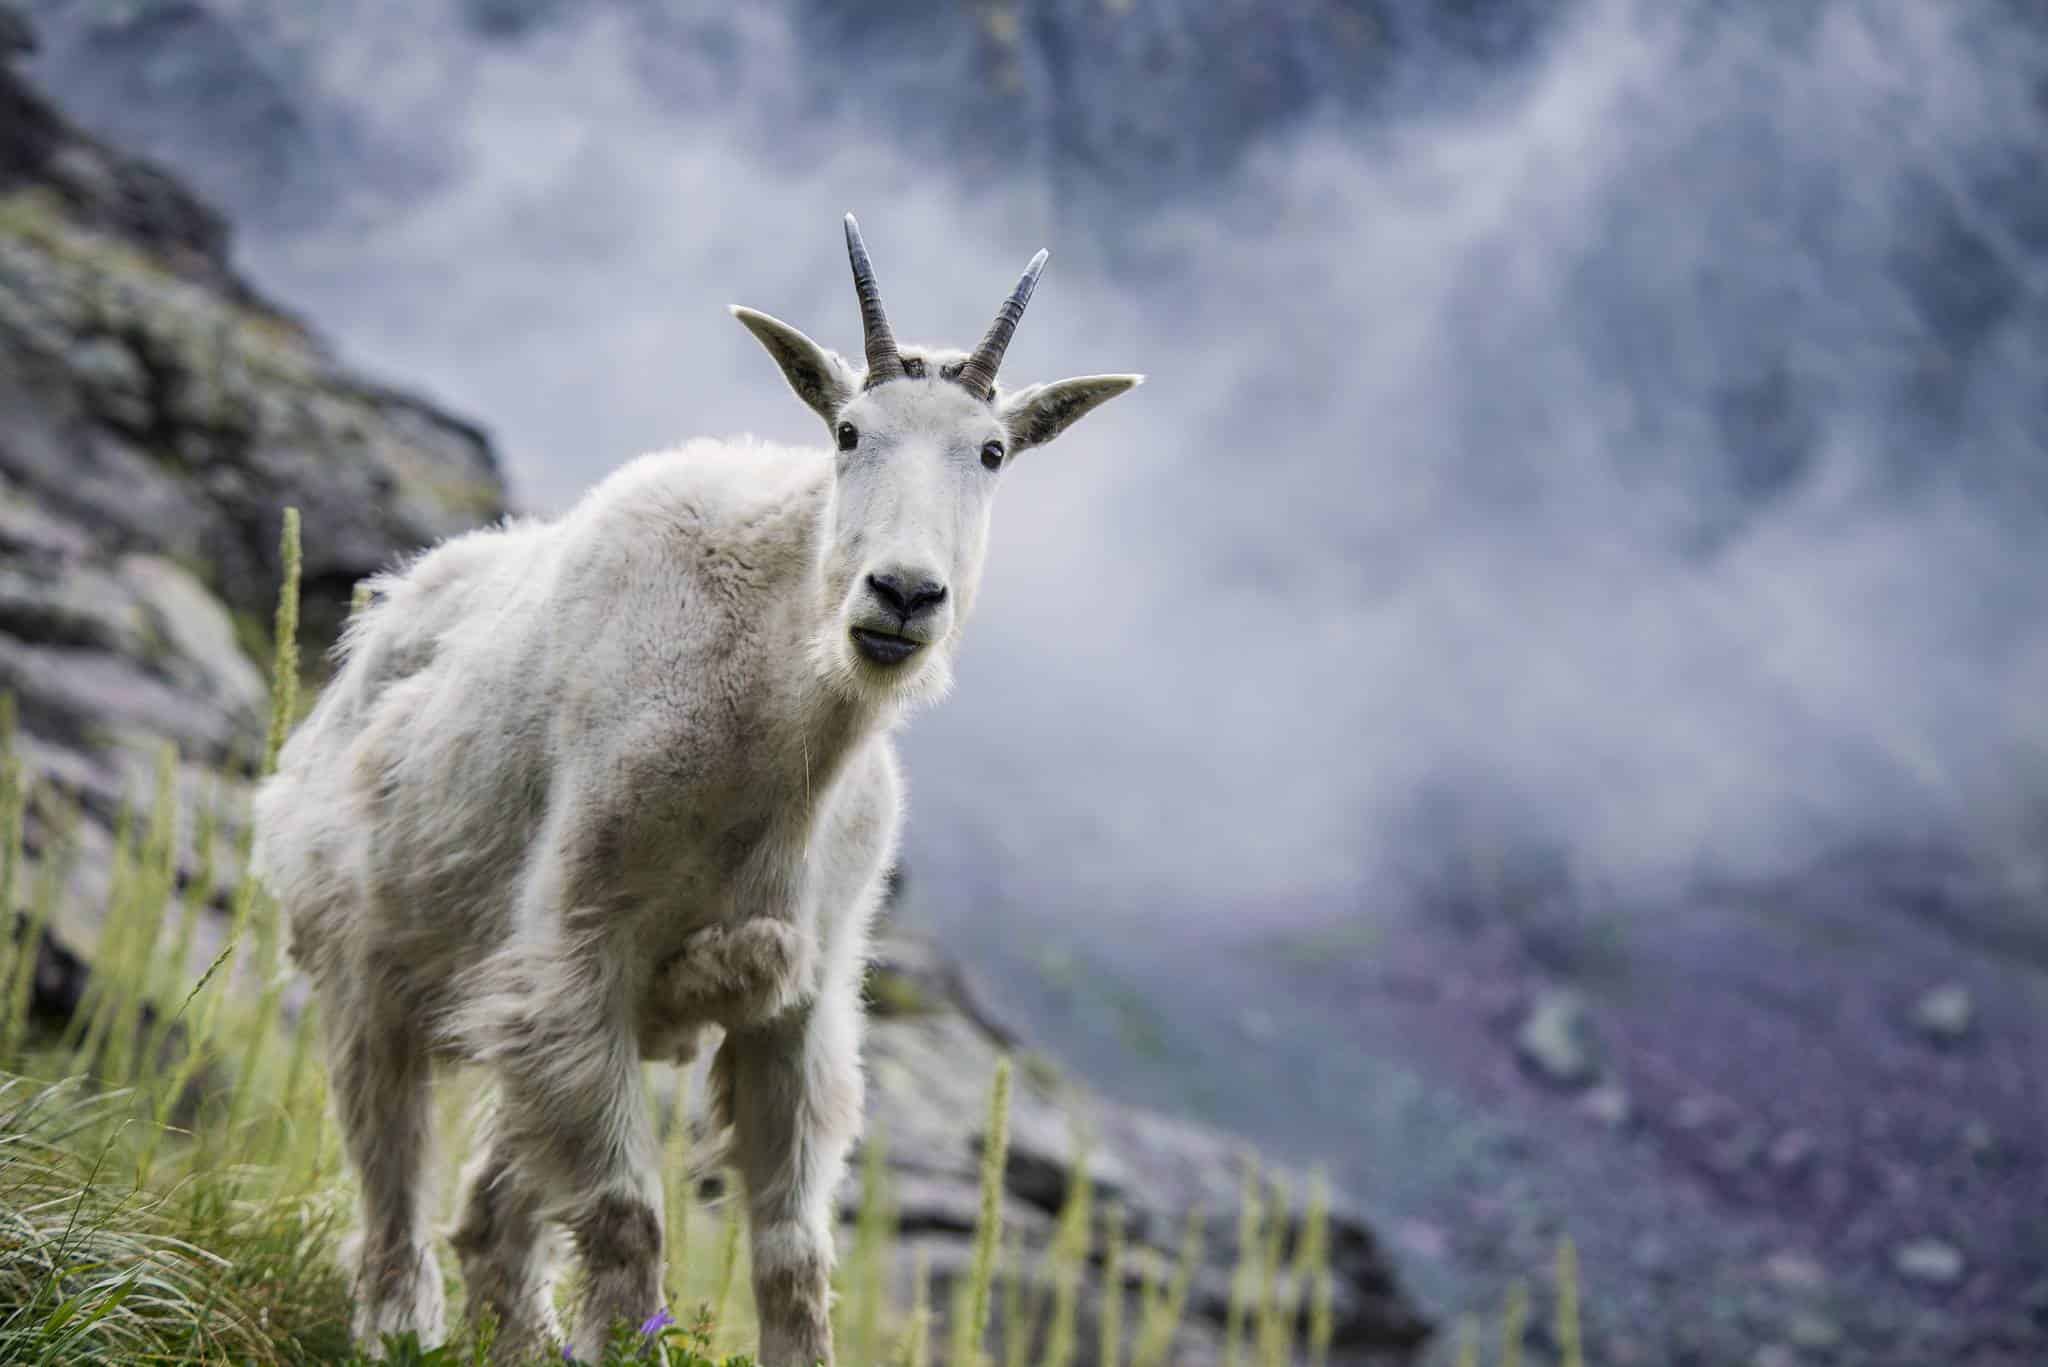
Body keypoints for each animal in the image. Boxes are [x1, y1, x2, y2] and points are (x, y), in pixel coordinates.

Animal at [252, 215, 1141, 1364]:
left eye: (991, 452)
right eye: (847, 432)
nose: (902, 596)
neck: (774, 734)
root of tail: (377, 626)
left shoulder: (796, 1002)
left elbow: (793, 1254)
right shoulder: (579, 950)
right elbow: (629, 1220)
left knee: (494, 1211)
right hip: (367, 960)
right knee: (394, 1173)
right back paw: (398, 1323)